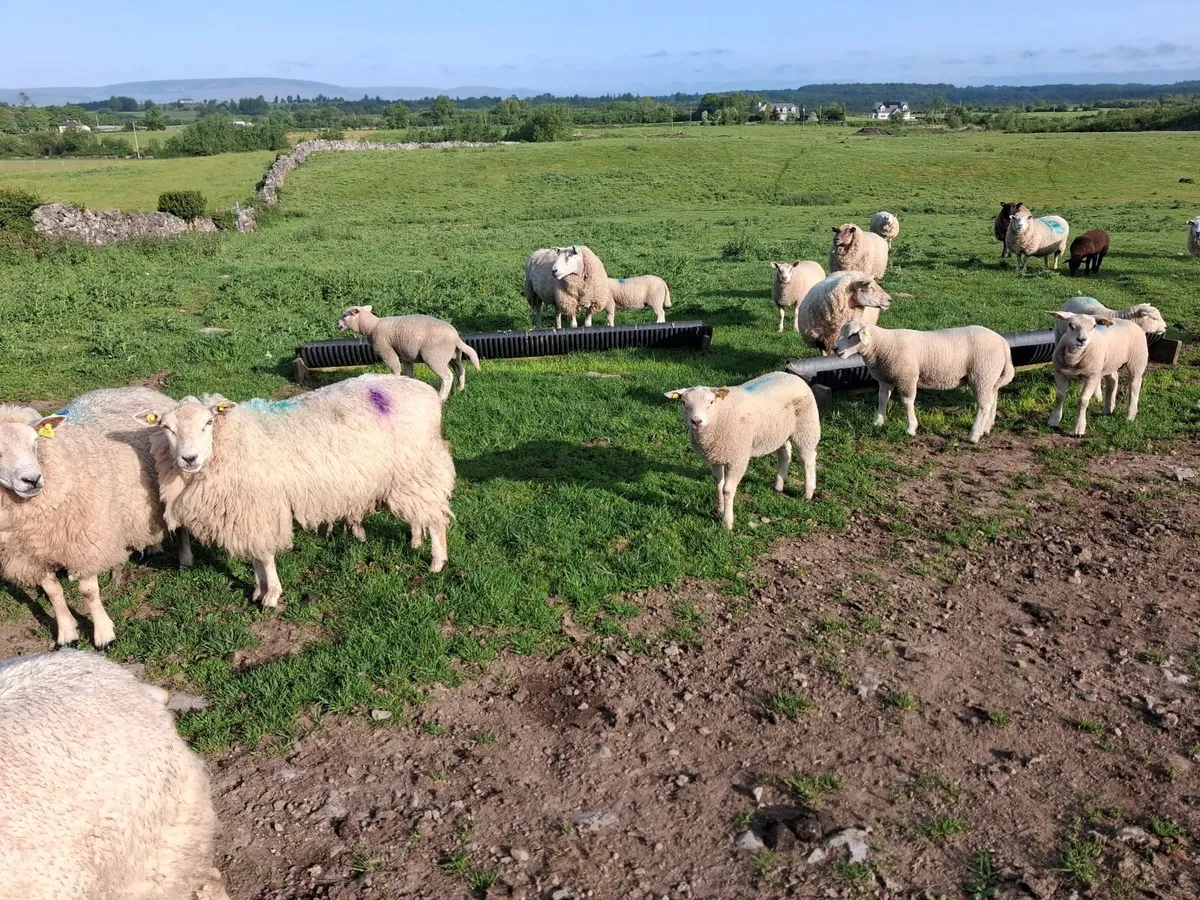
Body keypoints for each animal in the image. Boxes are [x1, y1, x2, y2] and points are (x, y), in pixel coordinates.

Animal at [0, 386, 182, 648]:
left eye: (35, 442)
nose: (32, 480)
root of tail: (137, 388)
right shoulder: (29, 555)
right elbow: (53, 592)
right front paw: (66, 632)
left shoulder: (85, 542)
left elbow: (88, 592)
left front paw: (104, 634)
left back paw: (154, 548)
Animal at [137, 373, 456, 607]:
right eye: (166, 428)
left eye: (208, 422)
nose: (189, 458)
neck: (229, 441)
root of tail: (429, 393)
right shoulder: (245, 514)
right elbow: (255, 556)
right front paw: (258, 590)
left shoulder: (257, 508)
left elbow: (264, 556)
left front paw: (271, 596)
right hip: (405, 477)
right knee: (420, 513)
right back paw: (416, 541)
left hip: (418, 467)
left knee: (437, 519)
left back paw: (437, 562)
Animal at [337, 307, 480, 401]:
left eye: (345, 315)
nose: (337, 325)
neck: (371, 326)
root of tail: (455, 337)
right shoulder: (405, 355)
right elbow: (408, 372)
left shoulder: (386, 350)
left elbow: (395, 369)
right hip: (454, 355)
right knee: (460, 369)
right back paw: (460, 388)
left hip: (435, 356)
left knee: (447, 376)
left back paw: (441, 397)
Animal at [664, 372, 820, 530]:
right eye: (683, 403)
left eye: (711, 402)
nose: (696, 421)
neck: (719, 415)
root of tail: (791, 375)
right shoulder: (715, 456)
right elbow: (718, 483)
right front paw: (720, 509)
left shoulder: (737, 458)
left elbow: (727, 490)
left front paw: (727, 522)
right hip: (778, 431)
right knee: (785, 453)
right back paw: (778, 486)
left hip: (806, 426)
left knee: (807, 458)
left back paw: (807, 493)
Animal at [834, 321, 1014, 443]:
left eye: (852, 335)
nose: (835, 349)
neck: (882, 345)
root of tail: (1003, 342)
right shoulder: (885, 379)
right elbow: (882, 398)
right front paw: (878, 422)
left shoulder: (907, 377)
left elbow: (907, 402)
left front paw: (911, 428)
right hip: (990, 377)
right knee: (992, 400)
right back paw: (986, 428)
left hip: (981, 374)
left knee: (984, 405)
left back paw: (974, 434)